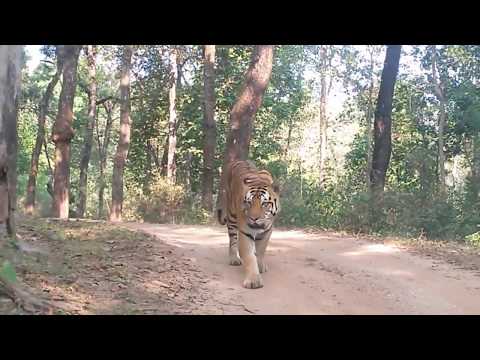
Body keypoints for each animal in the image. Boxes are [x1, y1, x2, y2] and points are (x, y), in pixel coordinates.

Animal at [217, 160, 280, 290]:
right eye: (249, 203)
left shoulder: (267, 231)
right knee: (233, 239)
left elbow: (261, 250)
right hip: (231, 215)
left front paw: (260, 266)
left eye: (264, 204)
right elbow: (249, 257)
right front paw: (253, 281)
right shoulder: (245, 233)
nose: (254, 218)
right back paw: (234, 259)